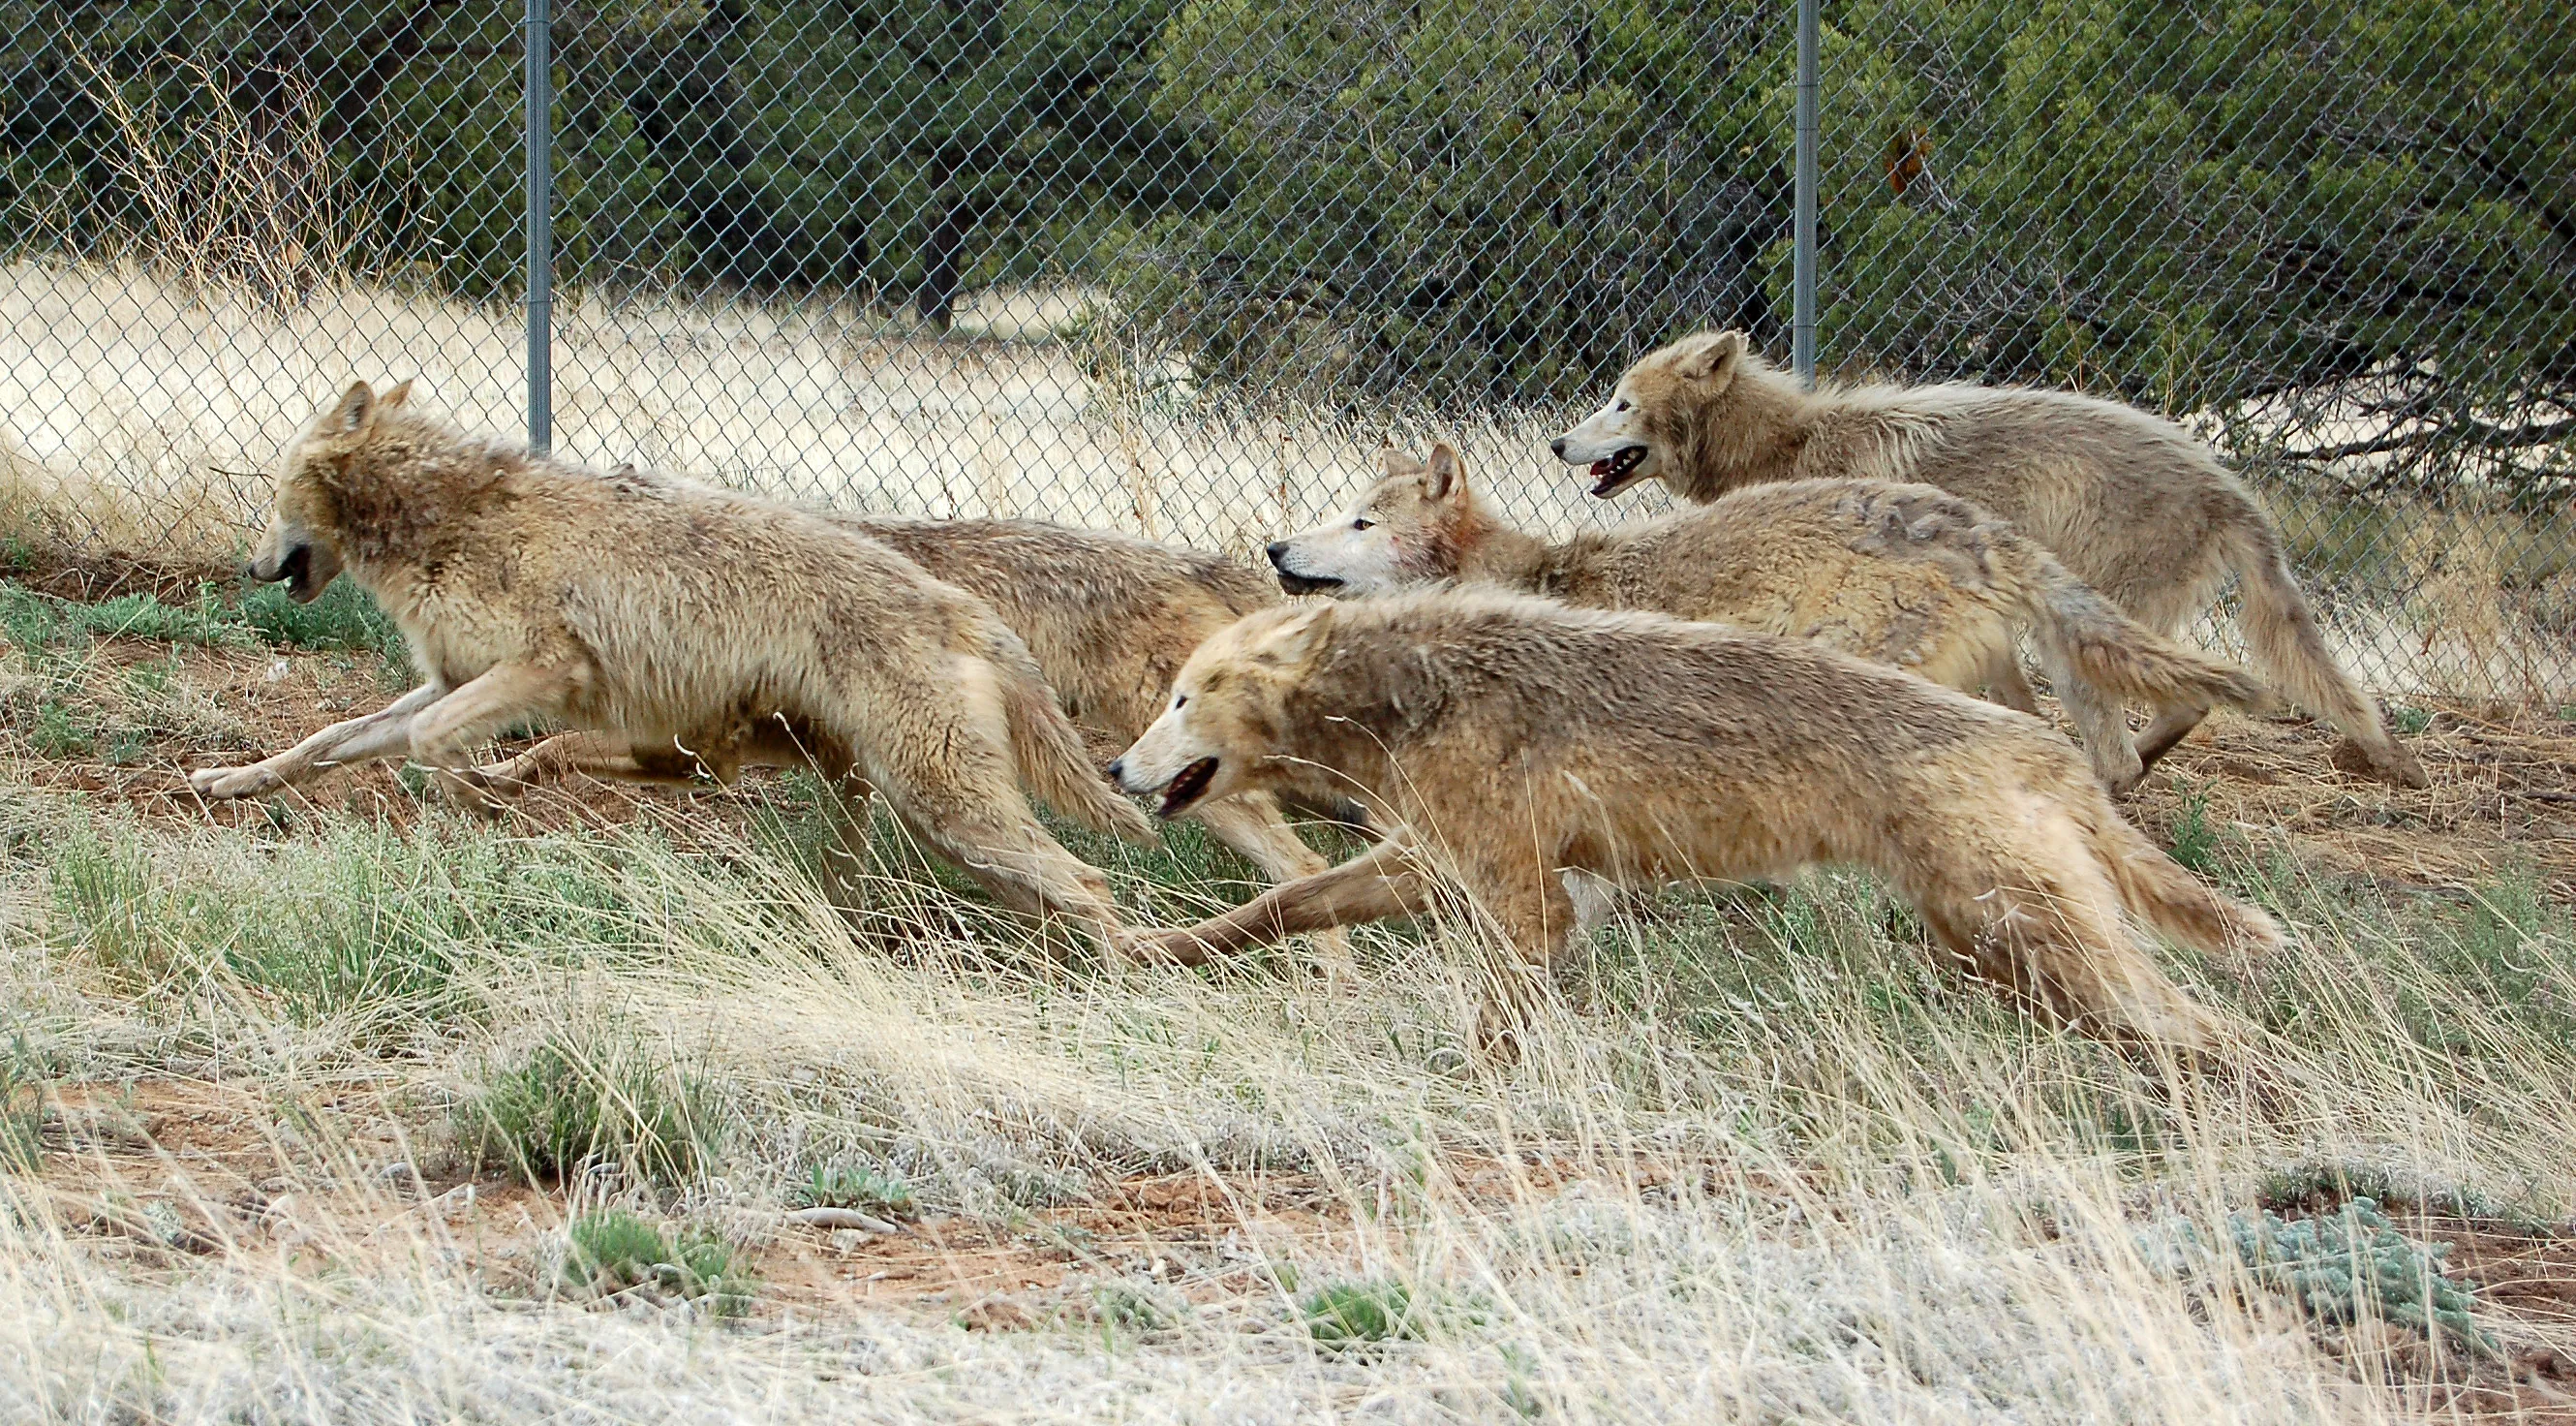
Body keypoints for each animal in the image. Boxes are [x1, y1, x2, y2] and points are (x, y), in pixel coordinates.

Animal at [186, 381, 1155, 952]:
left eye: (272, 494)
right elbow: (327, 741)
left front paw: (477, 799)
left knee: (1091, 882)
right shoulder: (450, 682)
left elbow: (431, 744)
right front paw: (228, 781)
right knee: (1053, 888)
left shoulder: (542, 669)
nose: (250, 568)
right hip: (909, 807)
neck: (447, 519)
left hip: (944, 808)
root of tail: (964, 608)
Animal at [1107, 590, 2281, 1059]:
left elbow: (1495, 1025)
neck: (1412, 693)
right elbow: (1278, 904)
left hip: (2033, 943)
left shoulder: (1526, 902)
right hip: (2000, 958)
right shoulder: (1434, 866)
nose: (1116, 767)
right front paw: (1154, 950)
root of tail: (2048, 749)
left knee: (2212, 1028)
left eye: (1181, 697)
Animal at [1552, 331, 2427, 788]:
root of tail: (2231, 487)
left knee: (2130, 744)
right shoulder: (1983, 630)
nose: (1559, 442)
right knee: (2184, 706)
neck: (1786, 446)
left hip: (2070, 637)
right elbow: (2011, 712)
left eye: (1621, 402)